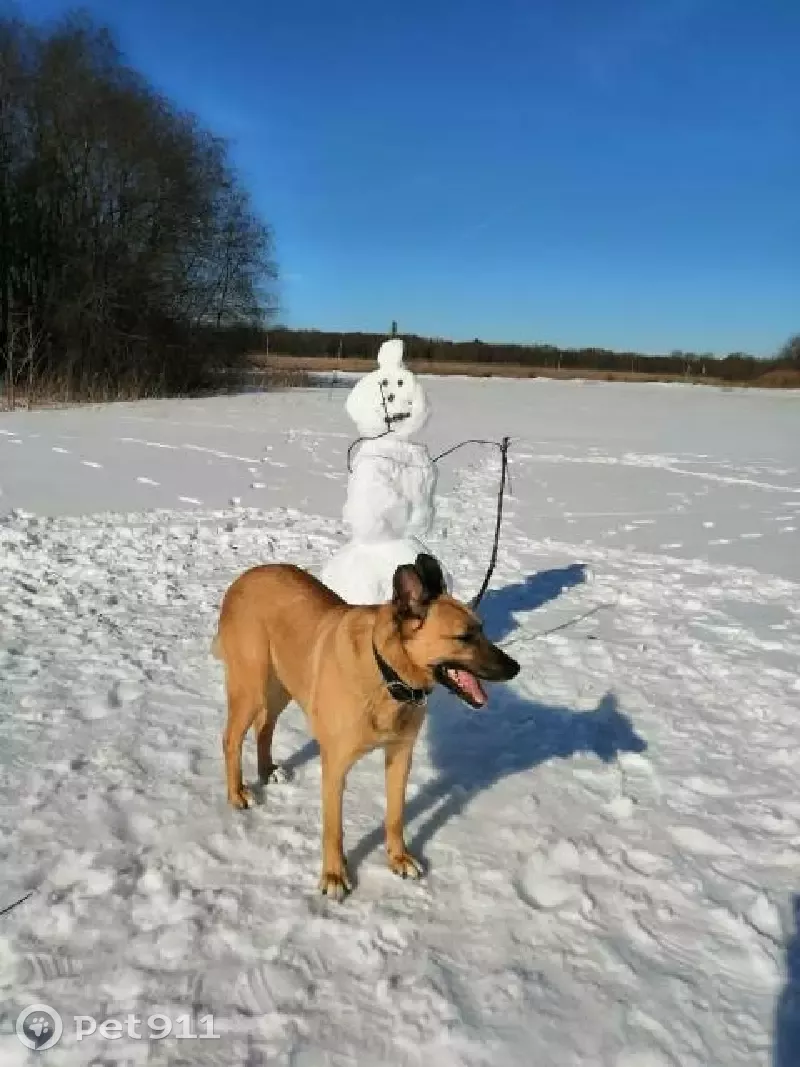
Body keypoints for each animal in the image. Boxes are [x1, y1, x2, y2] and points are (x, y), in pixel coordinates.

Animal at [211, 554, 520, 896]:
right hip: (250, 687)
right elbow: (333, 829)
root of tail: (244, 577)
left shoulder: (400, 756)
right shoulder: (335, 766)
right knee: (231, 738)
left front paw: (398, 858)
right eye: (464, 637)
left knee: (264, 726)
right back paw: (237, 794)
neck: (387, 673)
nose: (515, 668)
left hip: (281, 684)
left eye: (483, 629)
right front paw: (334, 876)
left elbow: (396, 815)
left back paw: (267, 771)